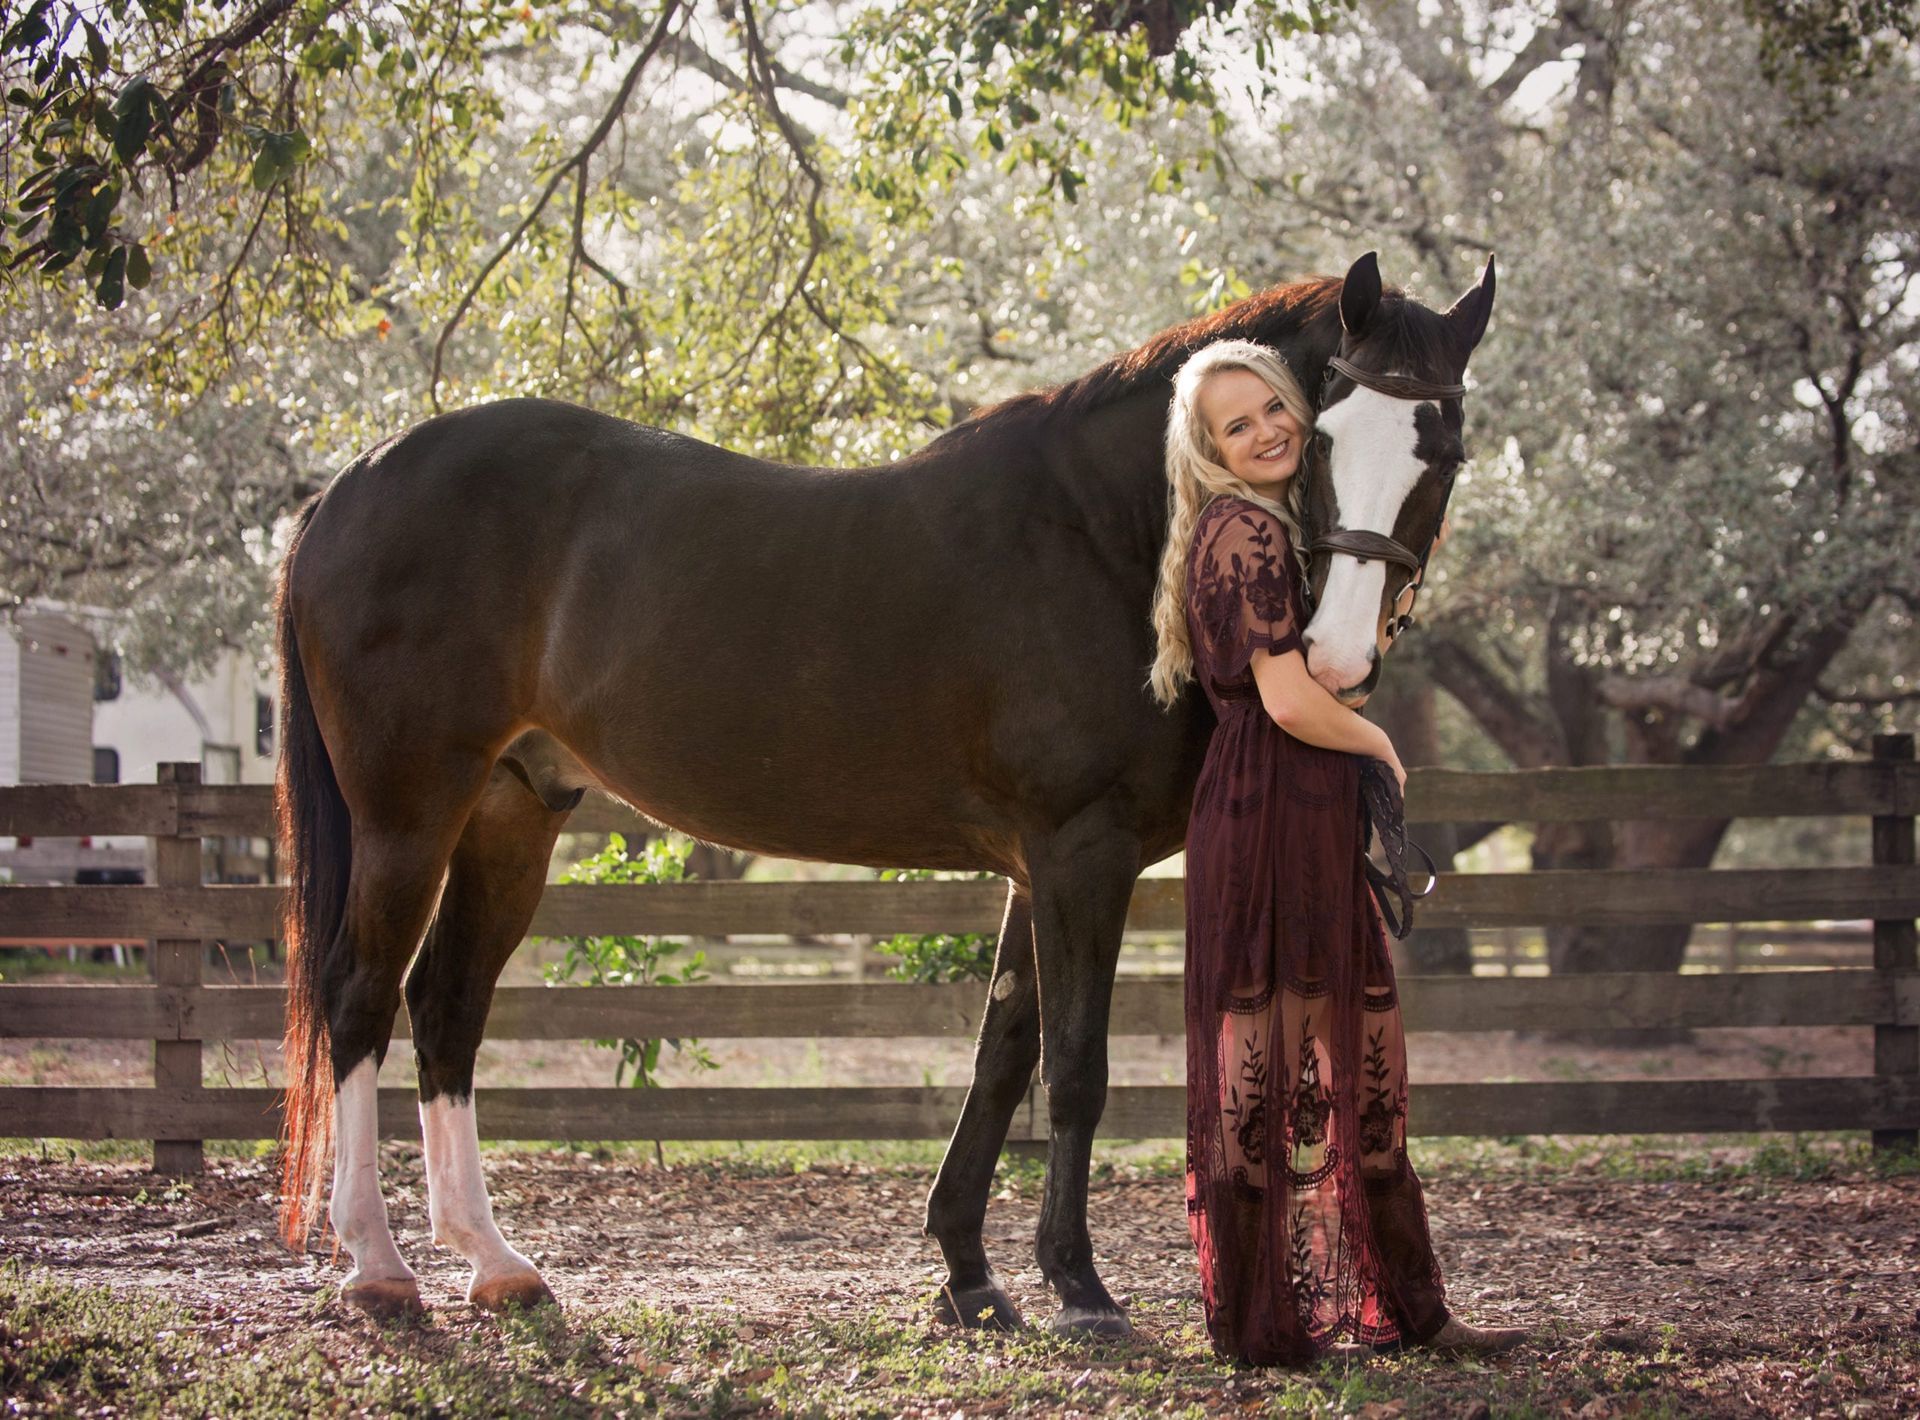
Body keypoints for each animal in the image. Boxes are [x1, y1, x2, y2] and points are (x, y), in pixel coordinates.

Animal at [274, 250, 1495, 1332]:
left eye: (1445, 450)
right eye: (1317, 435)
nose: (1336, 658)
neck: (1099, 538)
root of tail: (355, 480)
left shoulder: (1039, 868)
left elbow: (1003, 1053)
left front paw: (969, 1275)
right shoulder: (1080, 854)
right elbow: (1075, 1066)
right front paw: (1079, 1287)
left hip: (512, 811)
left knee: (446, 1007)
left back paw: (494, 1263)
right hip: (407, 812)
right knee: (359, 996)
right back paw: (378, 1269)